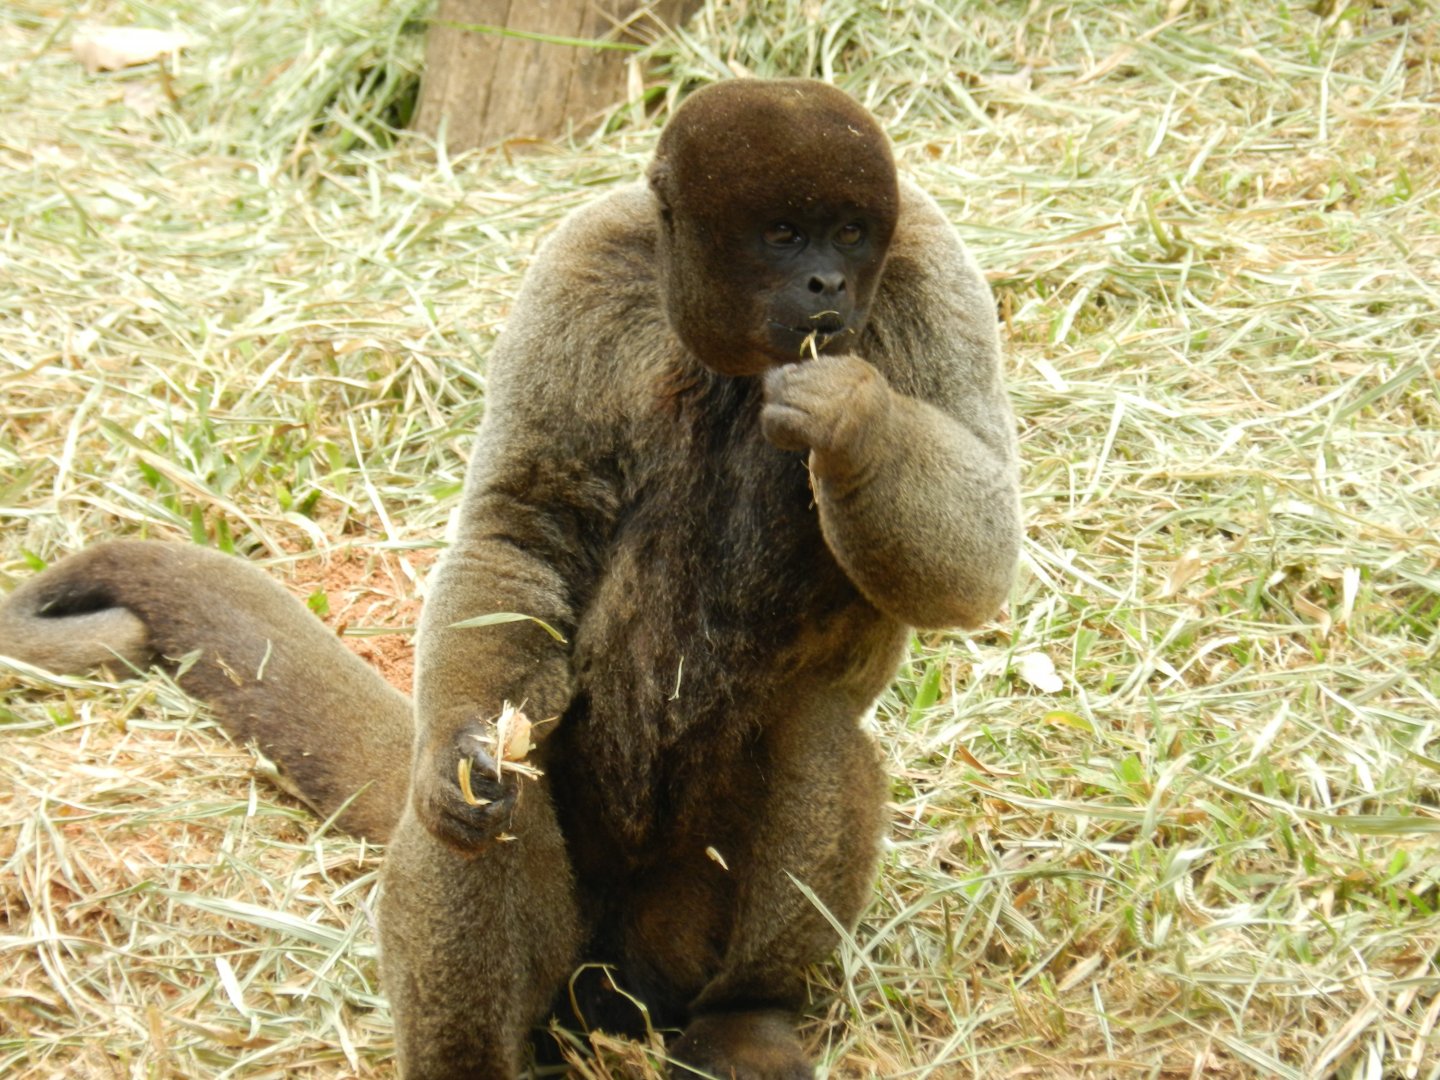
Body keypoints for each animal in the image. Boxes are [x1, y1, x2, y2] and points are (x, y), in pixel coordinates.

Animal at [0, 78, 1020, 1078]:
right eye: (783, 234)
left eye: (849, 233)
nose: (828, 284)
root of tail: (621, 980)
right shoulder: (580, 267)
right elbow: (517, 531)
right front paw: (461, 743)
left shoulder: (929, 271)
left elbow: (982, 559)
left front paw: (851, 417)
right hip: (568, 931)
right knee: (485, 784)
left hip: (683, 930)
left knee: (814, 731)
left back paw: (746, 1017)